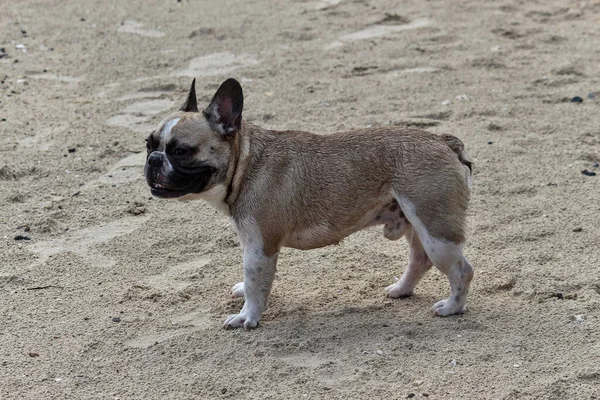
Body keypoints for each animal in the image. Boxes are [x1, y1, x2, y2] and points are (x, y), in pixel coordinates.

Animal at [145, 77, 474, 328]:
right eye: (148, 144)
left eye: (181, 151)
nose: (153, 160)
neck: (246, 164)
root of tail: (443, 141)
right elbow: (251, 280)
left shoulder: (260, 247)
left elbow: (255, 282)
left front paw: (247, 317)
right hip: (417, 223)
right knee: (419, 259)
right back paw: (402, 289)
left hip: (437, 232)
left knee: (461, 270)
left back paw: (452, 307)